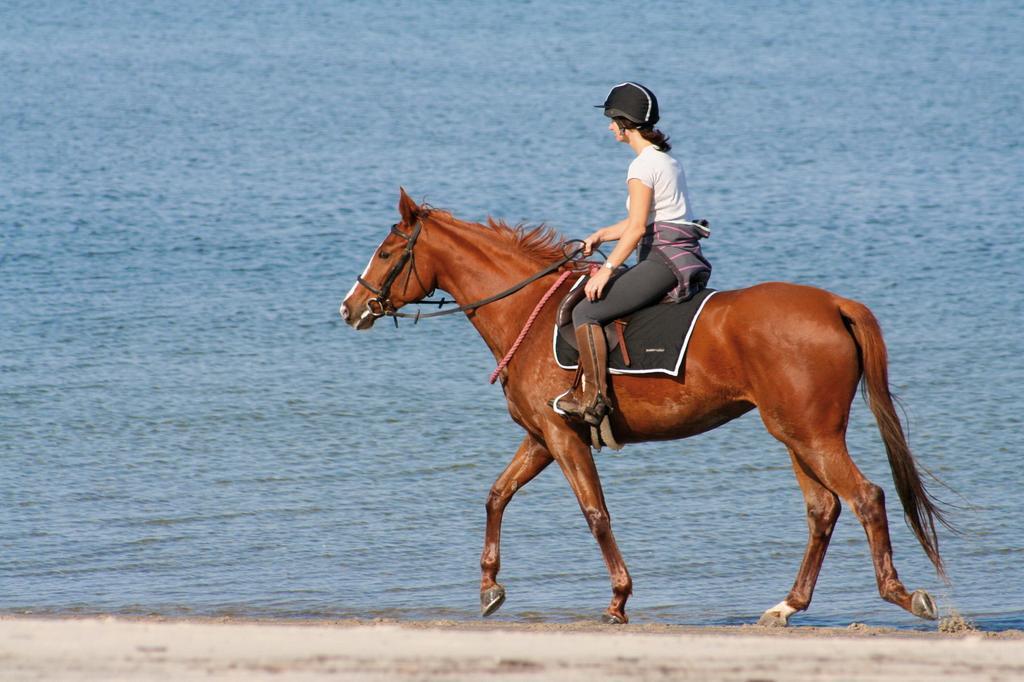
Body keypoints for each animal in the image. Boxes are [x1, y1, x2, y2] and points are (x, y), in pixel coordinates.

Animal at [339, 188, 946, 622]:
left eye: (388, 253)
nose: (350, 308)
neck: (526, 314)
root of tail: (834, 304)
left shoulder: (562, 438)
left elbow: (595, 514)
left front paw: (618, 600)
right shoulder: (543, 437)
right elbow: (496, 496)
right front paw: (490, 587)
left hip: (812, 435)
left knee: (865, 498)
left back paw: (902, 594)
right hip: (796, 434)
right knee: (823, 509)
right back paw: (786, 607)